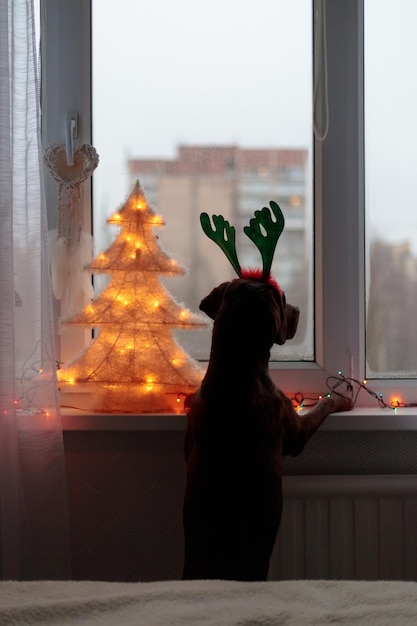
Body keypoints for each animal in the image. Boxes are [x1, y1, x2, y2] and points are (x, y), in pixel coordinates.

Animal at [181, 278, 352, 580]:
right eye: (282, 299)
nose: (299, 310)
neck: (233, 374)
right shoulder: (294, 427)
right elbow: (323, 405)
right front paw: (342, 398)